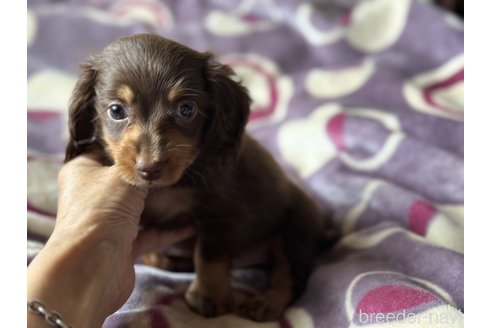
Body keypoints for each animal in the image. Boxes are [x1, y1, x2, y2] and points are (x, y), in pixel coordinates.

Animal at [66, 34, 326, 322]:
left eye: (186, 109)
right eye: (116, 111)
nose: (150, 169)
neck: (171, 185)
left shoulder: (220, 215)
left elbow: (210, 257)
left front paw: (209, 296)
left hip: (294, 229)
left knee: (290, 276)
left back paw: (265, 302)